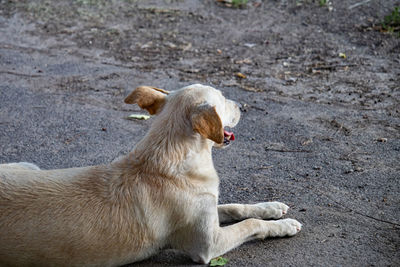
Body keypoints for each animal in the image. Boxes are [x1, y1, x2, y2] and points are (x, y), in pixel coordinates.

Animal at [0, 85, 300, 266]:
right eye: (223, 101)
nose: (241, 105)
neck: (166, 159)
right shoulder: (208, 244)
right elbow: (251, 225)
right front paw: (283, 226)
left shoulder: (209, 210)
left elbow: (236, 207)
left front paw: (272, 207)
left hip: (29, 165)